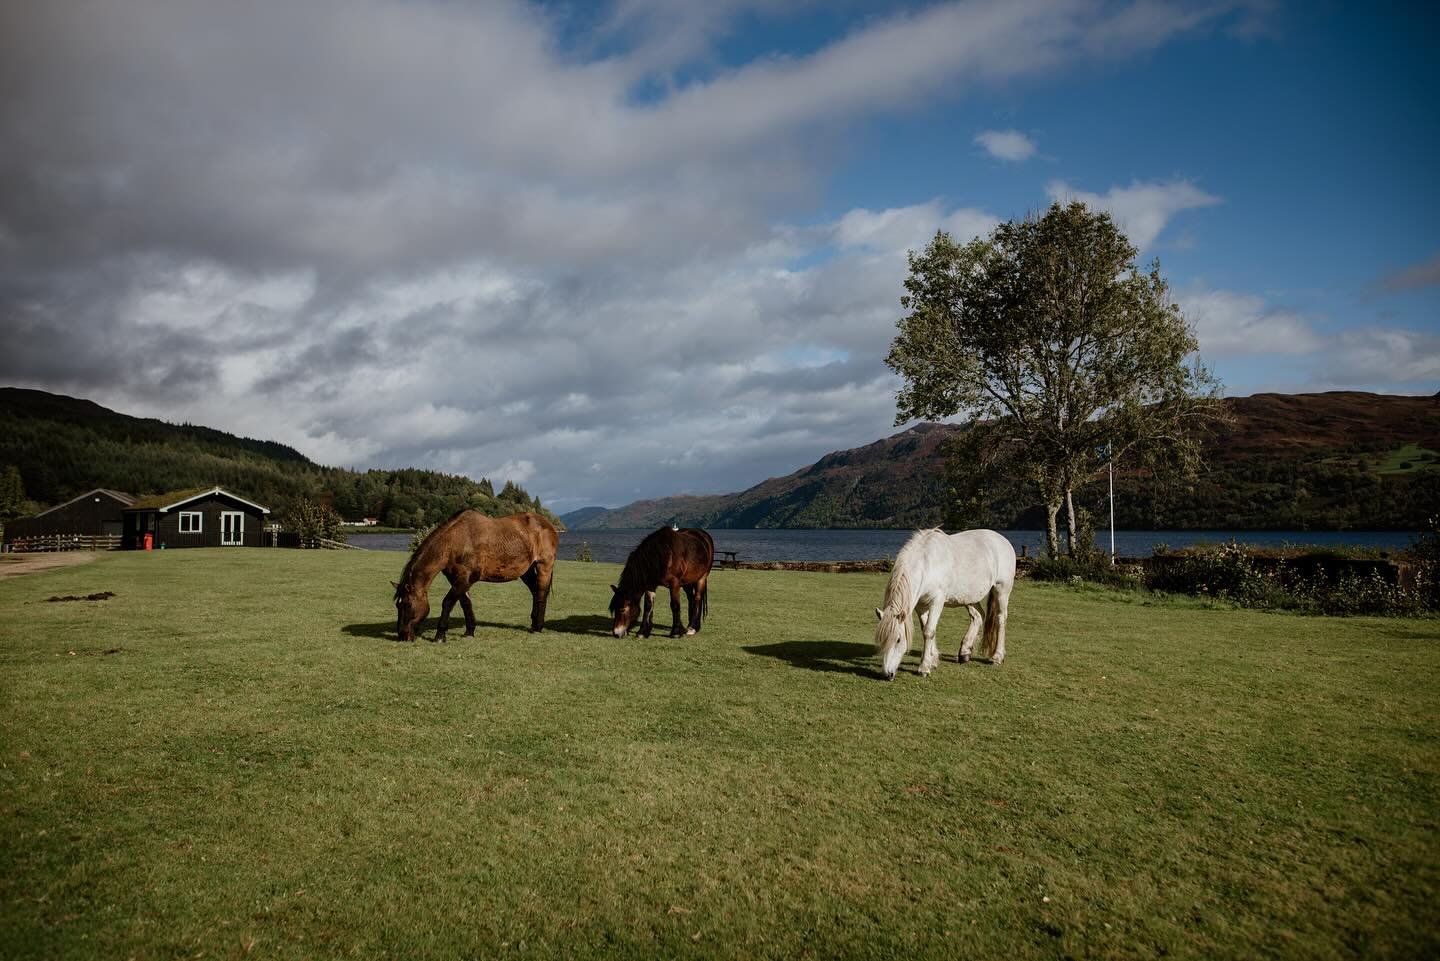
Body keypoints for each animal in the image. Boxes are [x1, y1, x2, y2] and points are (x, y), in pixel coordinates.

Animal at [397, 507, 558, 642]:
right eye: (397, 605)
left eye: (407, 604)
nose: (402, 636)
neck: (456, 540)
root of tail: (548, 524)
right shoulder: (456, 578)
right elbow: (465, 603)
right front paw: (469, 632)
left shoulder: (466, 577)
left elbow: (448, 602)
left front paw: (440, 636)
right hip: (526, 571)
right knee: (535, 592)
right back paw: (533, 624)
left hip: (544, 565)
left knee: (541, 593)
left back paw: (538, 627)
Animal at [869, 530, 1019, 680]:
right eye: (882, 640)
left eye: (898, 640)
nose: (887, 674)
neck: (927, 564)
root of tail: (1002, 540)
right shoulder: (921, 605)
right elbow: (926, 629)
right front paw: (933, 660)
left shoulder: (937, 601)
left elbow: (929, 631)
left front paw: (924, 668)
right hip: (969, 598)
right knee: (978, 616)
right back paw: (965, 652)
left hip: (1001, 590)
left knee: (1000, 619)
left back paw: (997, 657)